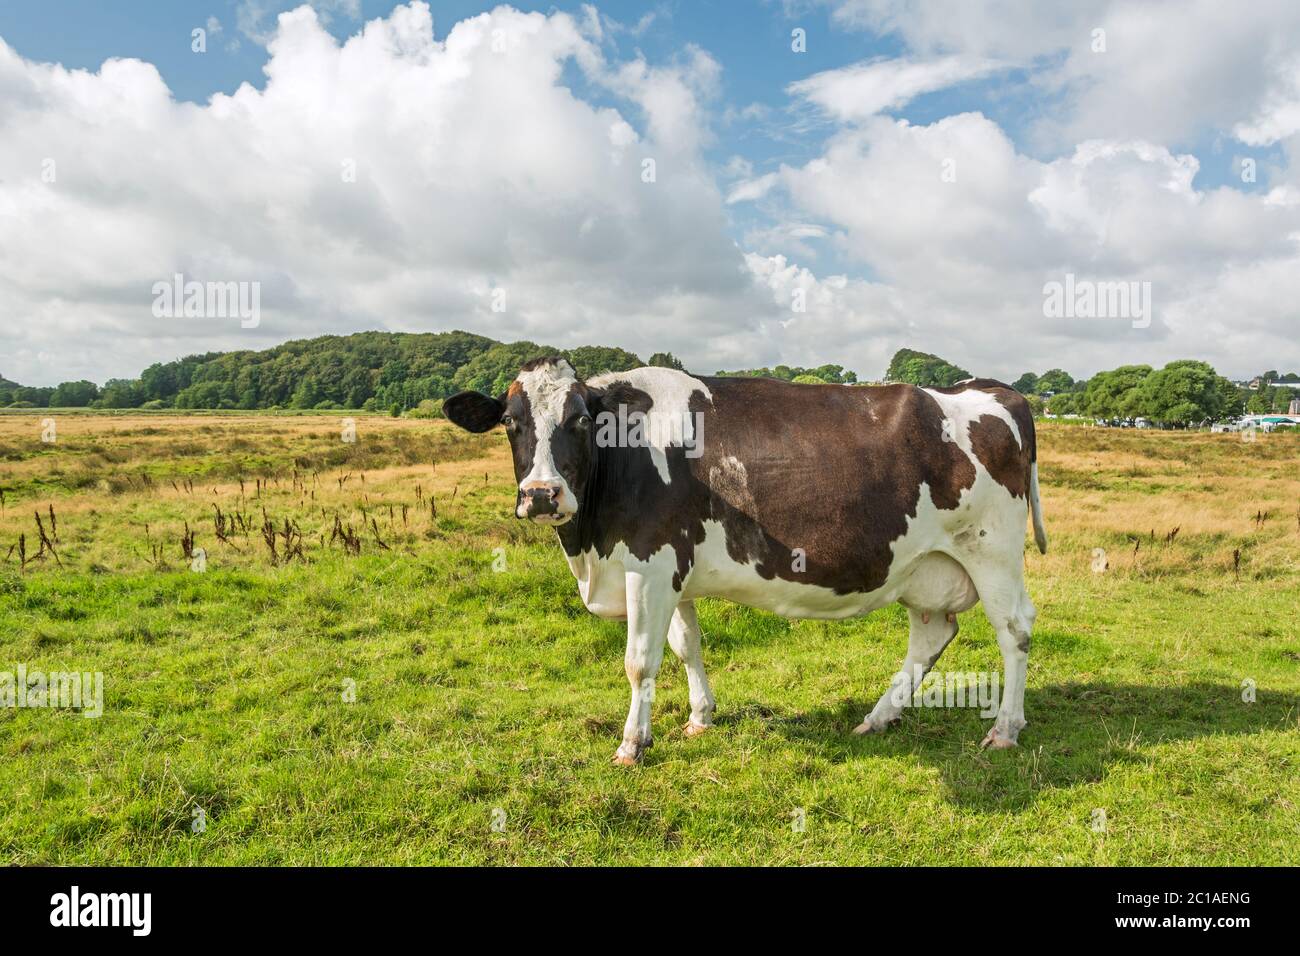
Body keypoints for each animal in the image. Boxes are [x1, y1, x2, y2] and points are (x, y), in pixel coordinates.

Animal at [444, 358, 1047, 765]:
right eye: (510, 422)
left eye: (579, 420)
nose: (542, 495)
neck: (591, 550)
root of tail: (989, 388)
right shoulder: (674, 572)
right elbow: (685, 645)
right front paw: (699, 718)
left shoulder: (649, 562)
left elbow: (640, 661)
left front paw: (632, 744)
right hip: (923, 565)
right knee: (931, 634)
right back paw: (878, 718)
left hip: (990, 549)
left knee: (1014, 629)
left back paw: (1005, 729)